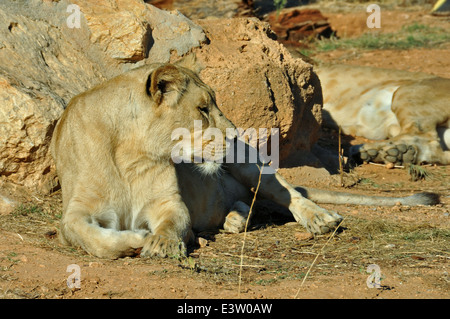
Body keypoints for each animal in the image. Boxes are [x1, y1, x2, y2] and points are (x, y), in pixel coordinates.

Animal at [50, 56, 440, 258]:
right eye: (203, 108)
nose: (238, 136)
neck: (133, 153)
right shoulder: (74, 213)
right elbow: (91, 238)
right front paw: (137, 239)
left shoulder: (170, 203)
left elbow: (171, 224)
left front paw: (161, 242)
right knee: (243, 204)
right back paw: (234, 220)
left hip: (252, 167)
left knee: (288, 193)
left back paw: (320, 219)